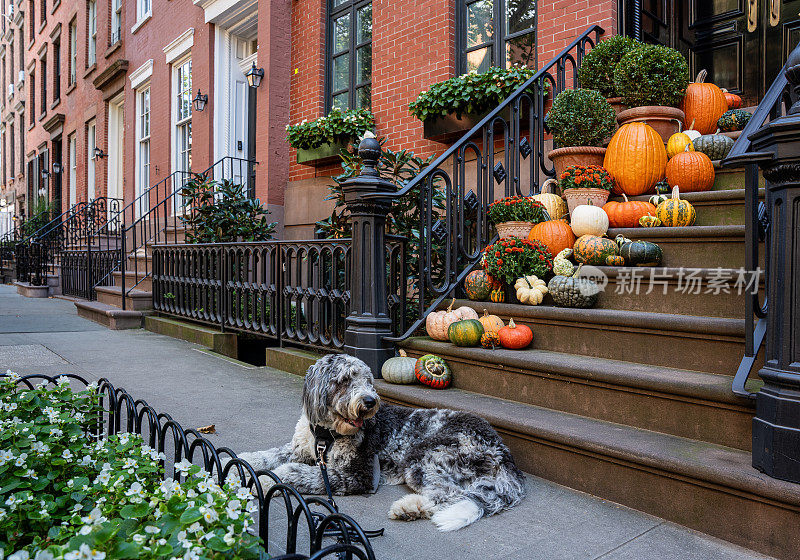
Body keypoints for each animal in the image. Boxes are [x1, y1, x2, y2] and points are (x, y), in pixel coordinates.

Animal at [238, 352, 524, 532]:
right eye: (344, 380)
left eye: (367, 380)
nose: (369, 401)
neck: (326, 433)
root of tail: (503, 451)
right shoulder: (302, 449)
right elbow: (271, 454)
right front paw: (245, 462)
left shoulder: (360, 474)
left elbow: (299, 472)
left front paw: (269, 480)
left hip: (424, 457)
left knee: (450, 494)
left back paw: (409, 507)